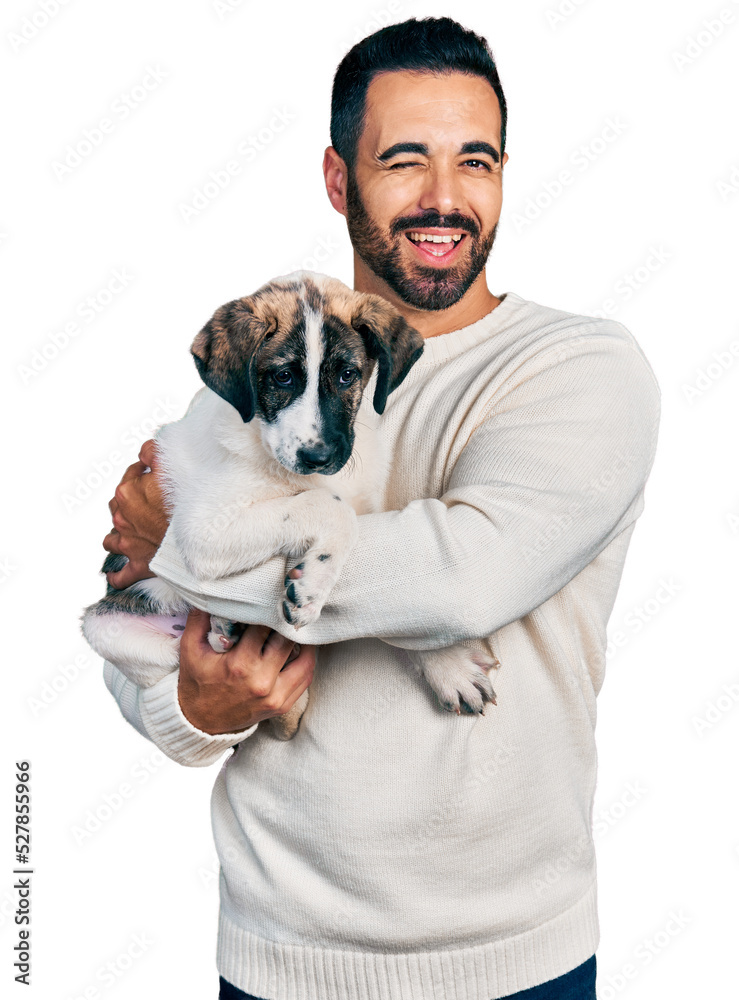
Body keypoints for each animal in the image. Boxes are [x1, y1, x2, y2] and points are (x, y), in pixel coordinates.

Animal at [81, 270, 500, 740]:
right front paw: (313, 585)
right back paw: (225, 630)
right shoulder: (203, 531)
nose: (319, 456)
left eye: (347, 375)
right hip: (109, 627)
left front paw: (448, 665)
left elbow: (395, 609)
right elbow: (328, 507)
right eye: (282, 377)